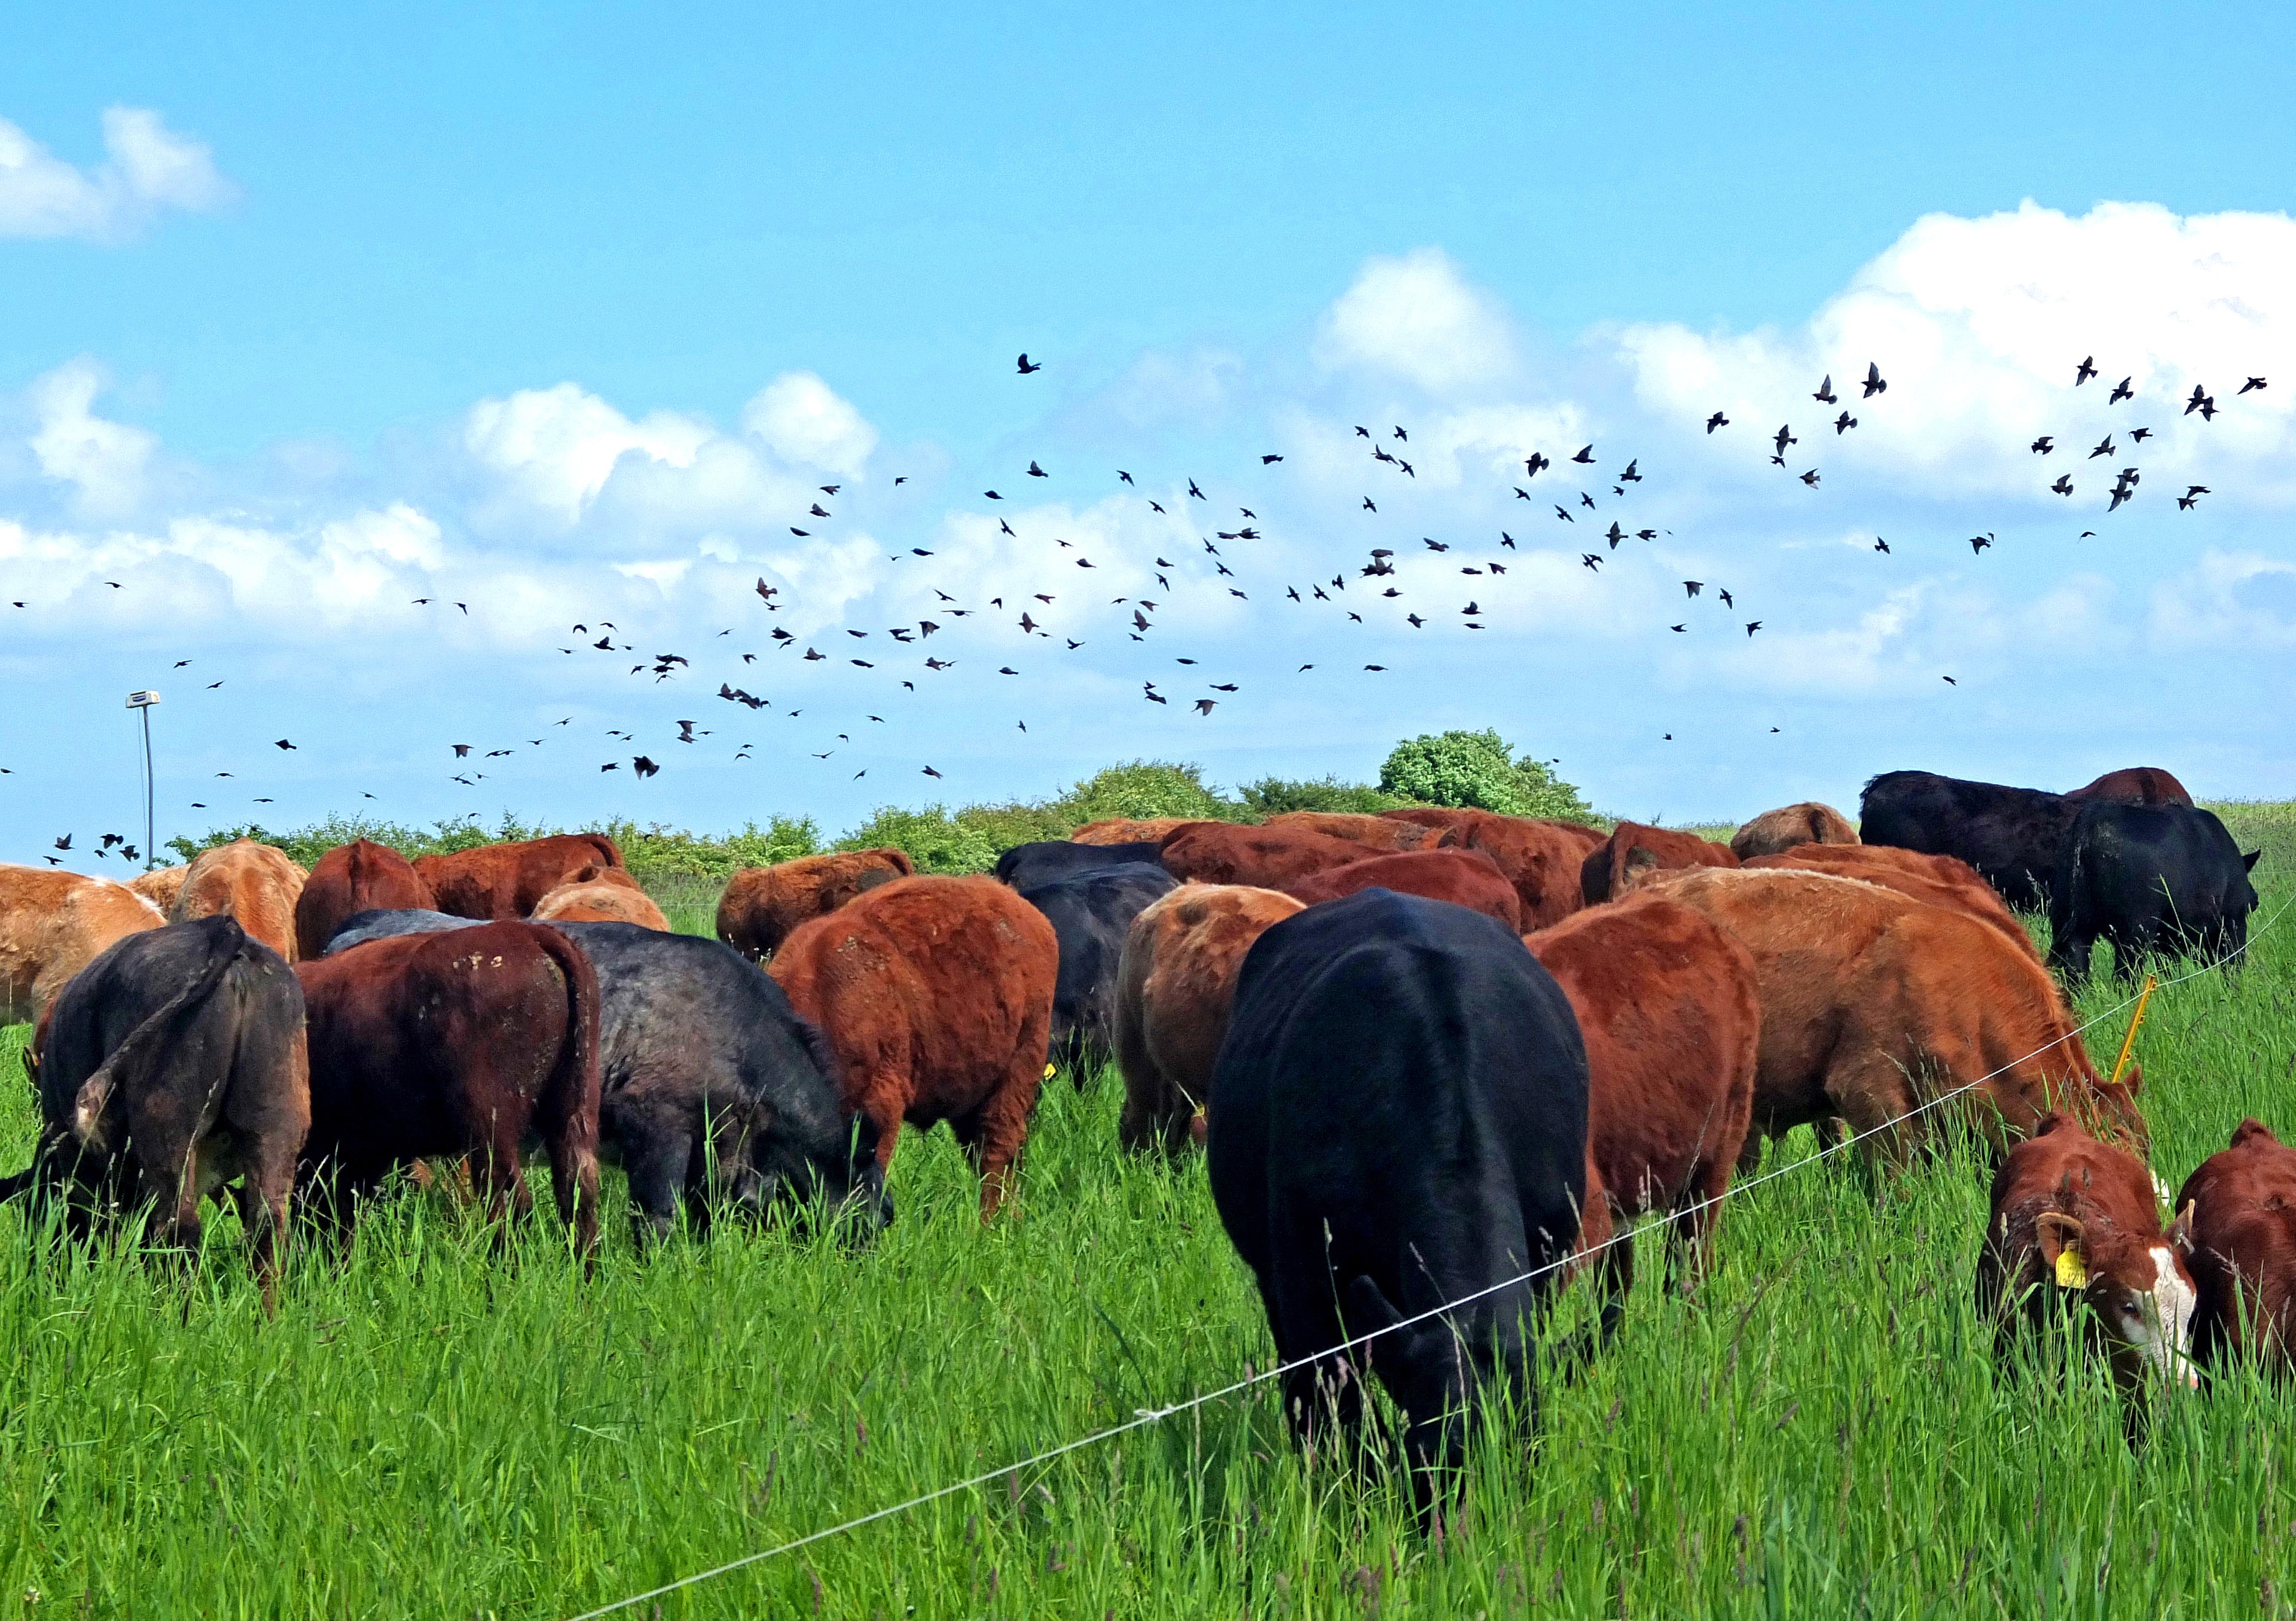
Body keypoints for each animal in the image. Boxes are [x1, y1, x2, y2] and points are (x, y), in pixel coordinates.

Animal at [2049, 802, 2260, 987]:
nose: (2256, 899)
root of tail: (2090, 818)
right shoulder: (2233, 920)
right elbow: (2233, 961)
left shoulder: (2166, 938)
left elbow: (2171, 968)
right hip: (2134, 931)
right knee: (2124, 976)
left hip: (2073, 925)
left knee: (2076, 973)